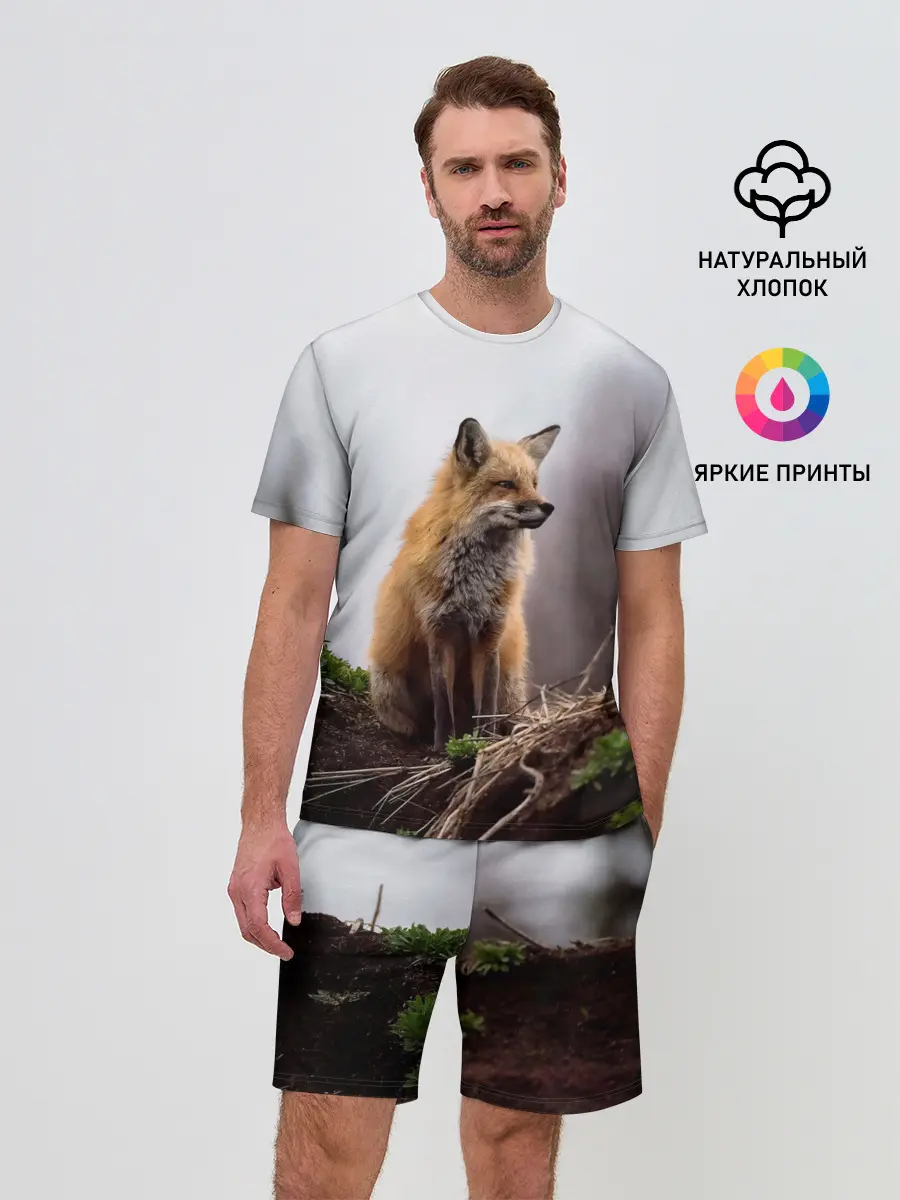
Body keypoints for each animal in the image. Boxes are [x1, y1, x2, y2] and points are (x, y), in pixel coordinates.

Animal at [368, 416, 560, 752]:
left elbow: (486, 706)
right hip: (387, 680)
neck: (474, 583)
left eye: (534, 484)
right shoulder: (439, 632)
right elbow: (443, 704)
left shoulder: (491, 635)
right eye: (506, 484)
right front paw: (444, 747)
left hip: (510, 683)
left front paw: (481, 744)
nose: (548, 507)